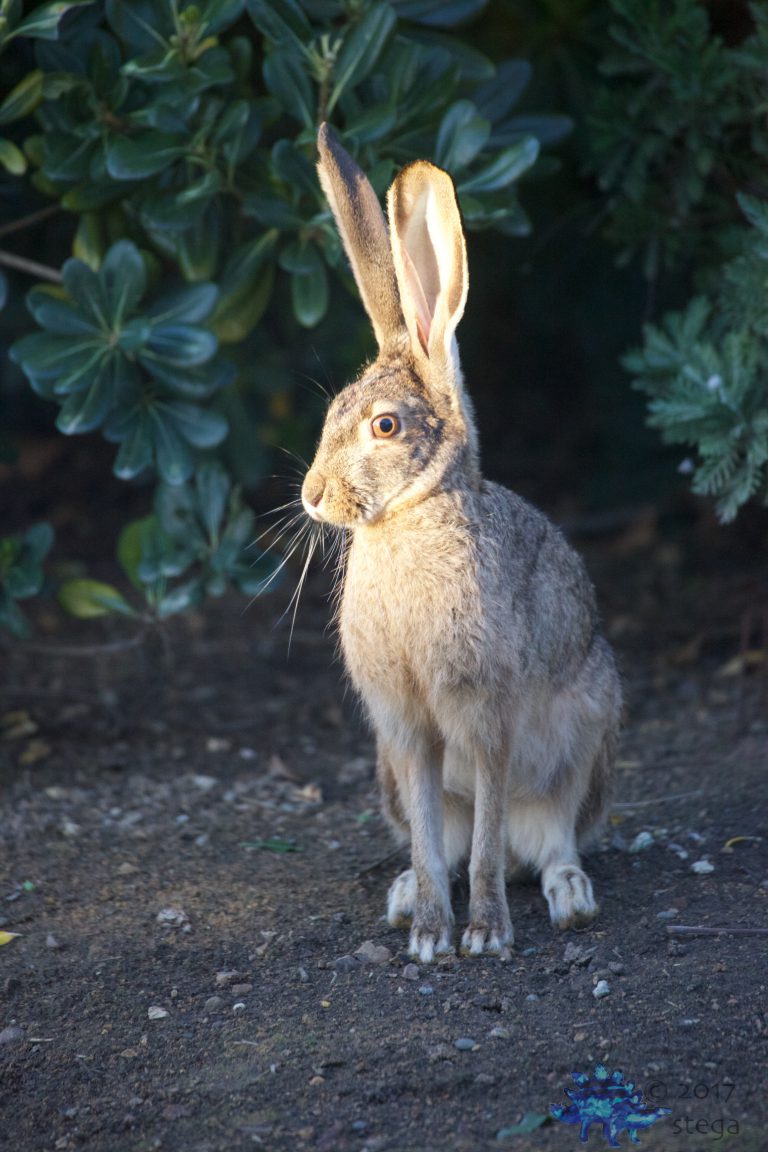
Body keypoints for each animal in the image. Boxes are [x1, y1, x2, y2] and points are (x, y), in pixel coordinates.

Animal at [301, 122, 622, 963]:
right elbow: (429, 838)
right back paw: (406, 898)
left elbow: (485, 832)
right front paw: (428, 937)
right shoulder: (406, 731)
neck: (408, 517)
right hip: (384, 769)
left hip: (584, 737)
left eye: (385, 425)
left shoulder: (486, 714)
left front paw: (483, 936)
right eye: (334, 413)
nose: (312, 496)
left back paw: (570, 899)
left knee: (547, 840)